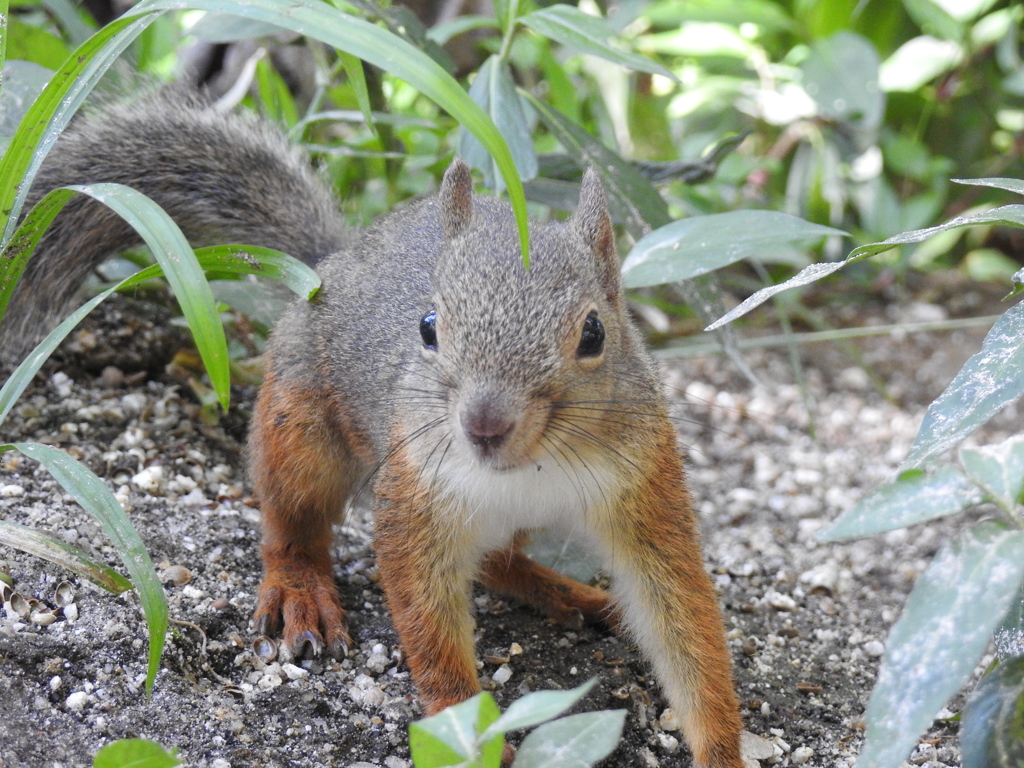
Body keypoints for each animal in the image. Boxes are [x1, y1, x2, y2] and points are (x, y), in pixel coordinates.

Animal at [4, 87, 749, 765]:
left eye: (593, 334)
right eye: (428, 326)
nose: (484, 425)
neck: (535, 464)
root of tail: (330, 265)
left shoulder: (644, 485)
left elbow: (680, 614)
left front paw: (720, 750)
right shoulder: (414, 493)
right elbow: (425, 616)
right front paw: (466, 733)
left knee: (501, 560)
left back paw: (569, 593)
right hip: (298, 424)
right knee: (292, 522)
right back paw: (300, 590)